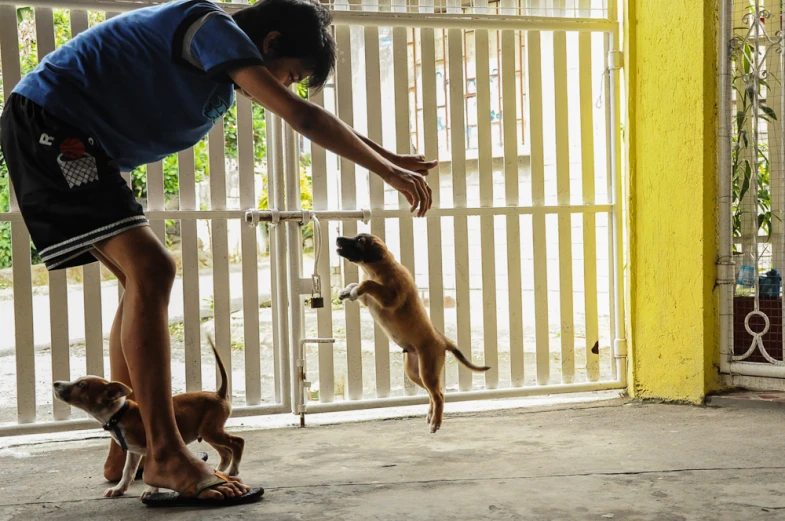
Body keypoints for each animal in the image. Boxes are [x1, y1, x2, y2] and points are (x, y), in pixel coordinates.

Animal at [52, 336, 242, 498]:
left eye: (81, 385)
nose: (55, 383)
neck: (118, 414)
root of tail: (218, 394)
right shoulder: (133, 451)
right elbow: (127, 471)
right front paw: (118, 489)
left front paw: (151, 490)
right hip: (207, 432)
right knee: (226, 452)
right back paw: (221, 472)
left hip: (211, 431)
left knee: (237, 442)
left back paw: (231, 471)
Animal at [336, 234, 490, 432]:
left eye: (359, 240)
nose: (338, 238)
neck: (376, 269)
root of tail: (442, 340)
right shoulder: (368, 300)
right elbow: (357, 284)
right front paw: (347, 291)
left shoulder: (390, 297)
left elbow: (367, 283)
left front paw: (354, 289)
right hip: (414, 372)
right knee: (434, 393)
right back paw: (431, 415)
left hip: (427, 371)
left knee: (438, 395)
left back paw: (436, 422)